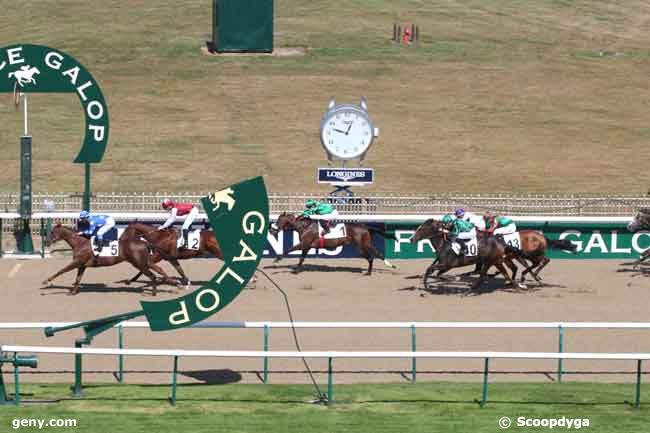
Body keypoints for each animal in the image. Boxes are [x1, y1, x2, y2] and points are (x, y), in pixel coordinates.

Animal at [44, 224, 173, 296]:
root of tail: (144, 243)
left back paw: (154, 292)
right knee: (158, 270)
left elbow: (61, 270)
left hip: (138, 263)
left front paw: (46, 281)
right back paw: (173, 283)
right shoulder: (82, 265)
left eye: (52, 232)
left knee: (152, 275)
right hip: (145, 262)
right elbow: (78, 278)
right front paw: (73, 292)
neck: (79, 243)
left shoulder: (77, 262)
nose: (46, 242)